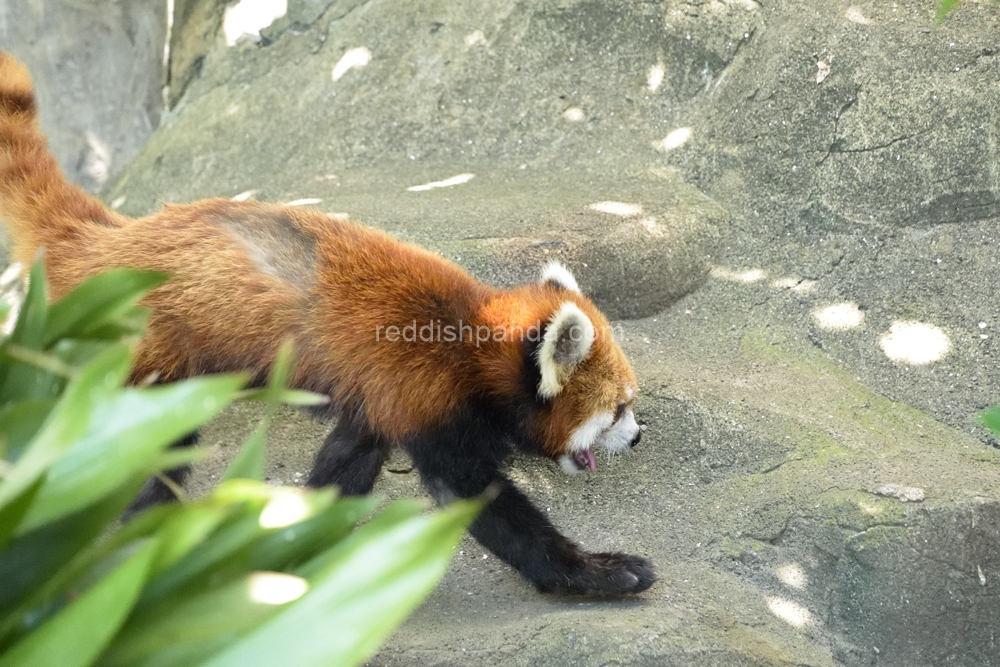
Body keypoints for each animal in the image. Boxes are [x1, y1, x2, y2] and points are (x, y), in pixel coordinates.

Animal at [0, 52, 656, 596]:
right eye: (618, 408)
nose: (638, 437)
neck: (470, 343)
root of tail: (112, 240)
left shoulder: (378, 402)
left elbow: (345, 467)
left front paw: (290, 544)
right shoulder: (425, 392)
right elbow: (477, 500)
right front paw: (595, 572)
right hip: (146, 355)